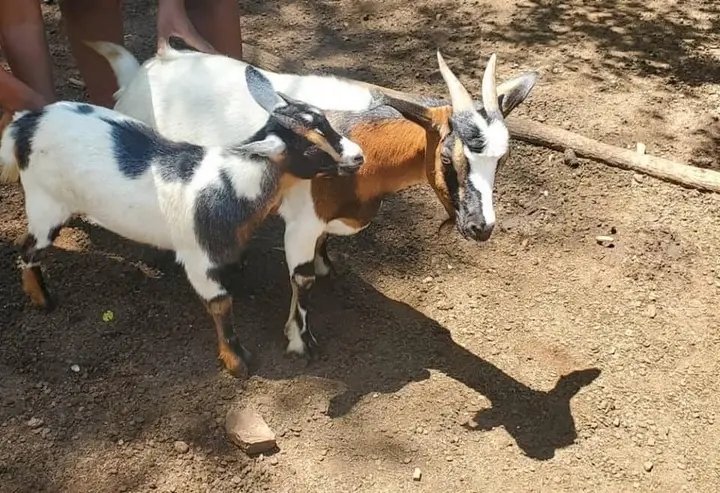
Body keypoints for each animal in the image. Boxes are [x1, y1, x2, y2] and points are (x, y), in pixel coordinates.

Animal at [0, 66, 365, 378]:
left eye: (326, 120)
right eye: (312, 148)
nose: (358, 156)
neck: (229, 182)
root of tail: (25, 124)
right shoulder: (198, 259)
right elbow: (221, 303)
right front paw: (238, 362)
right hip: (45, 204)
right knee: (28, 247)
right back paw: (43, 300)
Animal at [89, 41, 538, 362]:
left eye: (503, 158)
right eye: (448, 157)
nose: (481, 227)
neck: (366, 140)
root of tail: (147, 68)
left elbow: (322, 253)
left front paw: (327, 266)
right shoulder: (302, 223)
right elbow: (301, 280)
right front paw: (299, 340)